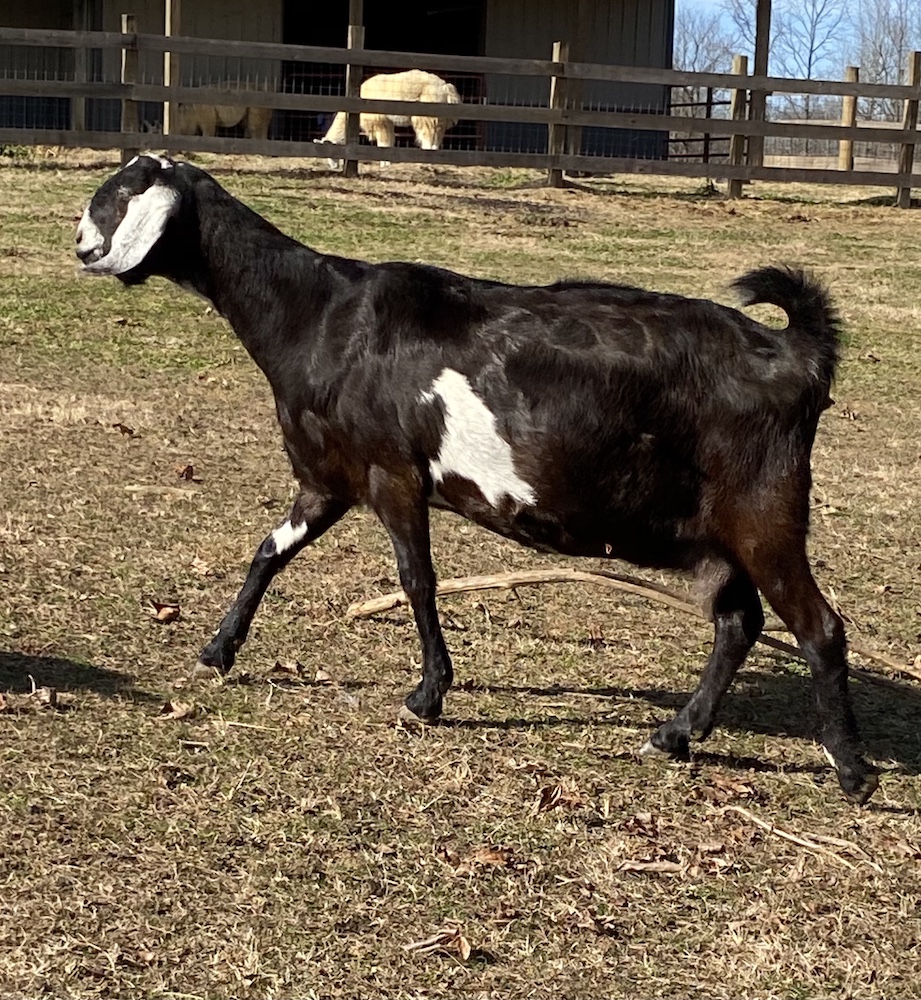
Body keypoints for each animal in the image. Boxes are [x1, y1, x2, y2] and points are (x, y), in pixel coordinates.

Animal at [75, 155, 878, 805]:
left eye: (116, 195)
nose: (80, 245)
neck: (320, 317)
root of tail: (795, 353)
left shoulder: (392, 474)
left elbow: (416, 579)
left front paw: (427, 696)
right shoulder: (328, 479)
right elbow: (271, 550)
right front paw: (219, 650)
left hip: (765, 511)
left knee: (817, 627)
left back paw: (852, 771)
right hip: (720, 534)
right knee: (737, 623)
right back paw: (676, 734)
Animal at [319, 69, 460, 167]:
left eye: (329, 155)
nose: (333, 167)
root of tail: (446, 88)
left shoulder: (378, 119)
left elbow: (383, 141)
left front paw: (384, 163)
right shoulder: (387, 121)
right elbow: (390, 139)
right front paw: (388, 162)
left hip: (428, 112)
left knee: (428, 135)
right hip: (440, 117)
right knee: (437, 135)